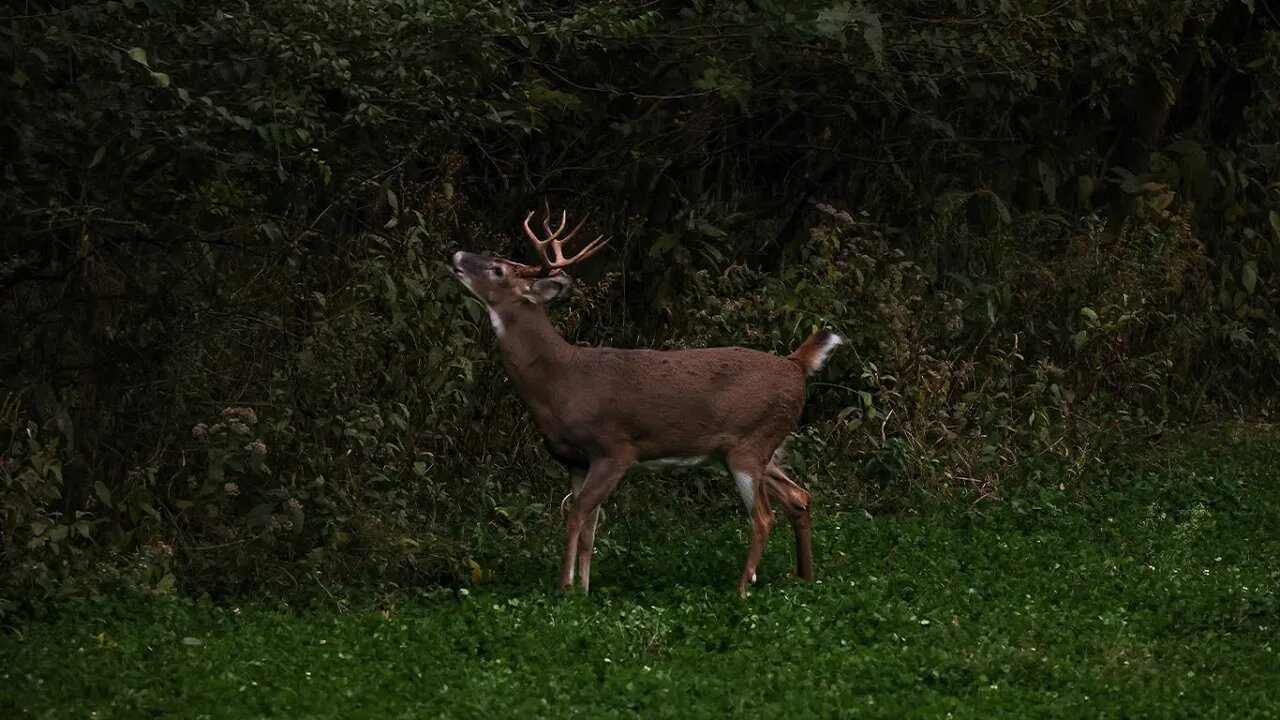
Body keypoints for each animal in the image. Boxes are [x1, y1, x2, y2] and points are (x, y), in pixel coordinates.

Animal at [450, 203, 839, 594]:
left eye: (498, 270)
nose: (456, 255)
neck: (560, 381)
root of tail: (796, 365)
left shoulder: (615, 448)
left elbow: (576, 516)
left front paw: (564, 590)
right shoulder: (575, 461)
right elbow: (590, 528)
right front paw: (584, 589)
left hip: (749, 444)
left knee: (764, 517)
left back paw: (742, 589)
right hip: (762, 449)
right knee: (799, 497)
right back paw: (806, 580)